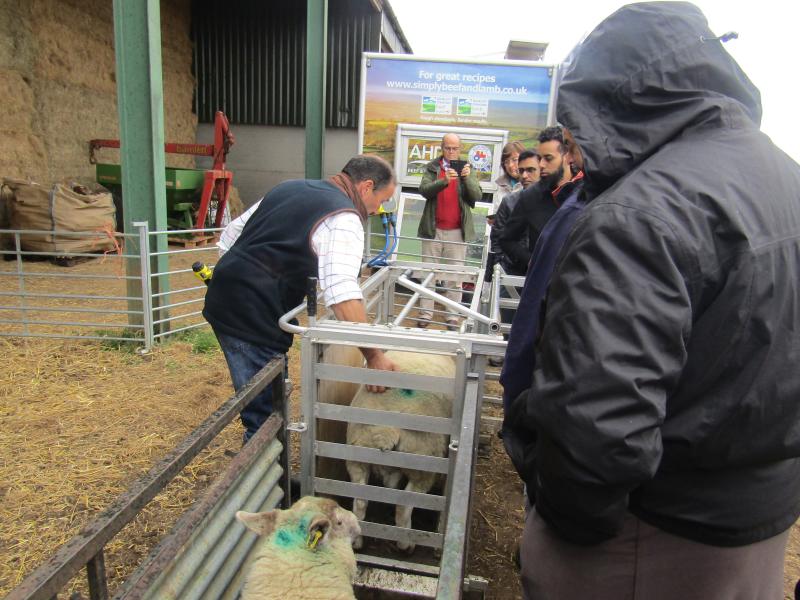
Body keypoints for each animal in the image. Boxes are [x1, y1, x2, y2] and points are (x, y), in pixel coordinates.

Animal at [322, 344, 454, 552]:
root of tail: (386, 429)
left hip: (357, 457)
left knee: (360, 502)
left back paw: (357, 542)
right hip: (423, 463)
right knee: (403, 507)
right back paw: (406, 544)